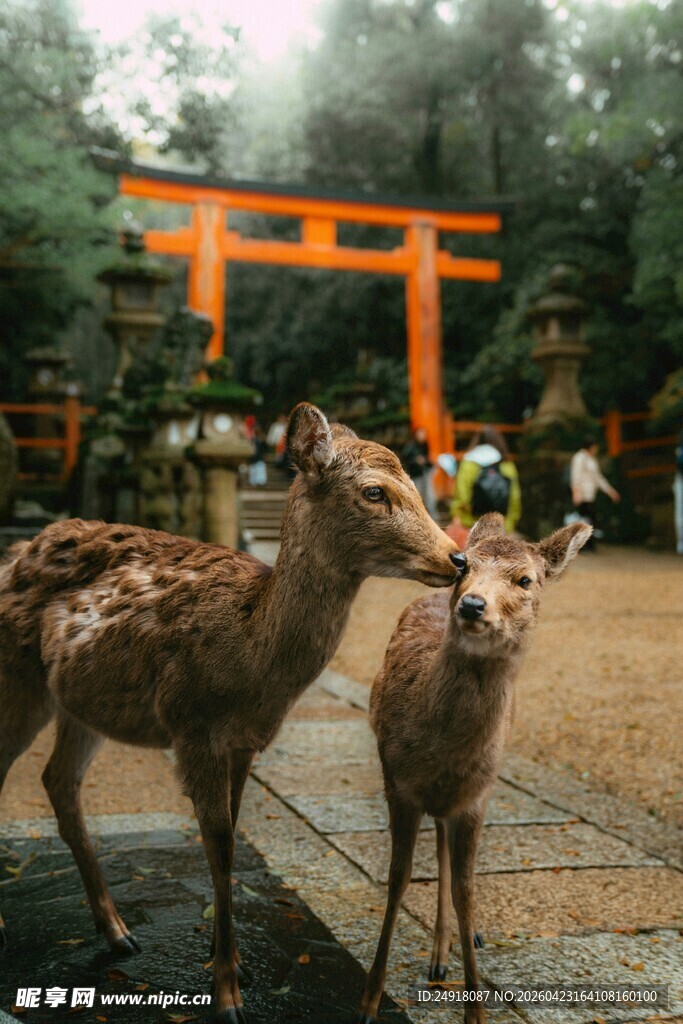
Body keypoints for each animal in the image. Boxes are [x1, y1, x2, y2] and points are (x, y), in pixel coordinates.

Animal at [0, 403, 461, 1024]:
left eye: (415, 483)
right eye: (374, 492)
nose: (457, 557)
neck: (250, 664)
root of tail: (15, 554)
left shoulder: (244, 741)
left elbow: (233, 839)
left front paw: (234, 962)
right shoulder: (189, 723)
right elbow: (217, 846)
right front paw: (226, 994)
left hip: (78, 703)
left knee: (58, 780)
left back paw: (118, 932)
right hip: (17, 677)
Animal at [356, 512, 592, 1024]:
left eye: (525, 580)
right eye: (465, 565)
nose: (471, 603)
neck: (440, 752)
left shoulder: (476, 797)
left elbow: (466, 891)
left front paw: (476, 1009)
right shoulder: (396, 780)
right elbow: (398, 877)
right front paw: (368, 1001)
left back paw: (449, 951)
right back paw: (438, 956)